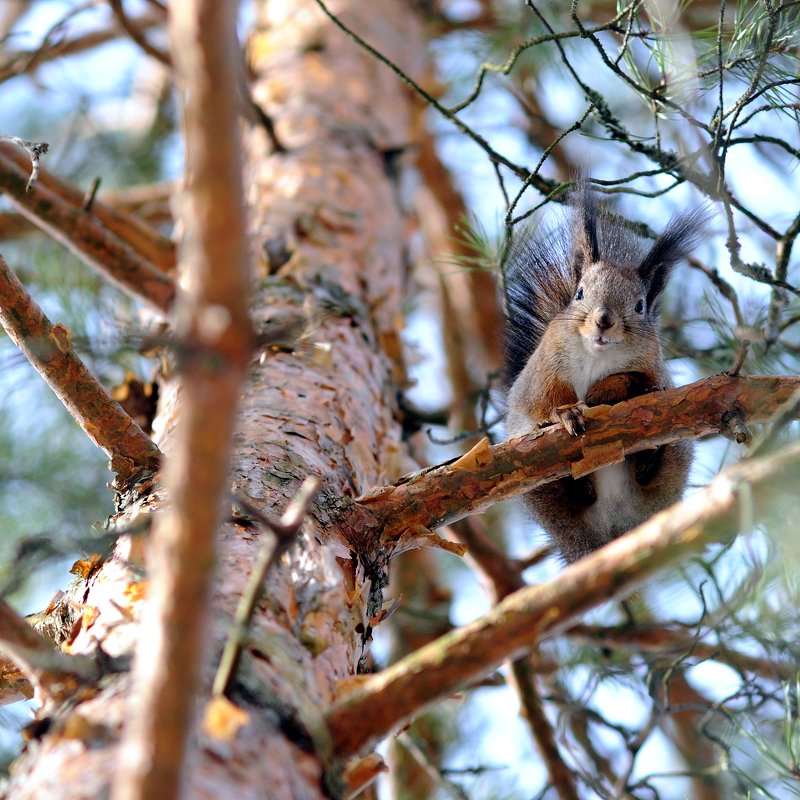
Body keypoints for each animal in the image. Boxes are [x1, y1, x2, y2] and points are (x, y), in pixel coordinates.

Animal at [506, 184, 708, 564]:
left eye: (640, 306)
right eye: (580, 292)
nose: (603, 320)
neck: (596, 356)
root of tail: (611, 534)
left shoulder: (652, 368)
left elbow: (637, 381)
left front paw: (607, 391)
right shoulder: (541, 374)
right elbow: (544, 399)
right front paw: (566, 413)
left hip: (675, 458)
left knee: (650, 471)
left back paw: (649, 456)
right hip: (541, 493)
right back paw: (575, 482)